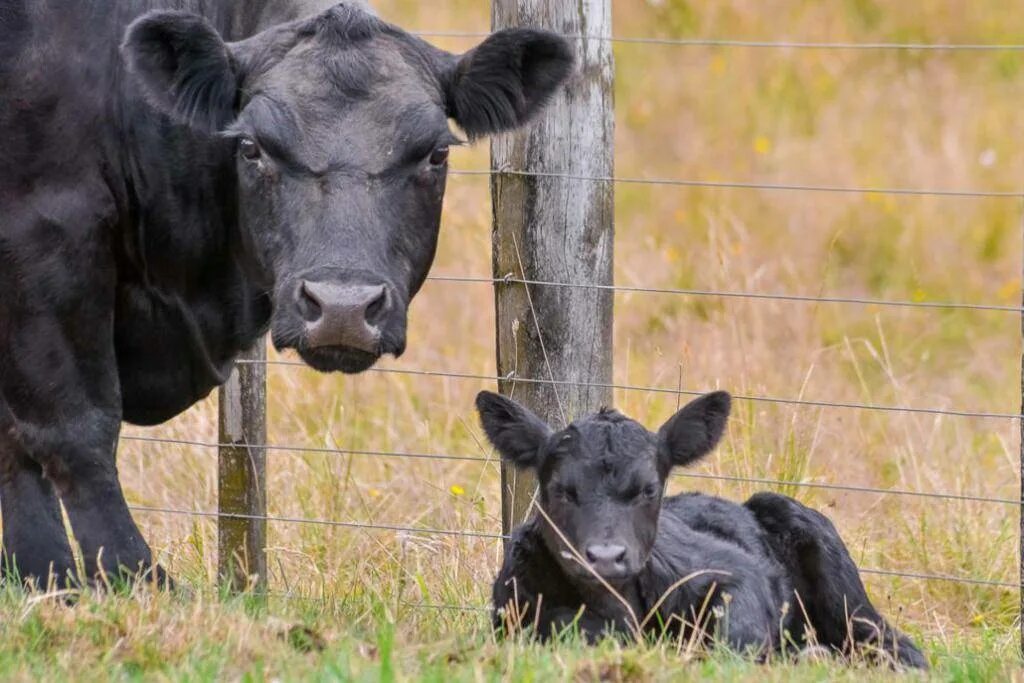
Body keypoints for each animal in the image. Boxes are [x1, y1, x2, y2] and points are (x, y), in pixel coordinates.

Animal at [0, 1, 573, 589]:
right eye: (252, 147)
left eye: (435, 154)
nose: (343, 308)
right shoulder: (45, 229)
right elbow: (74, 428)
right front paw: (131, 582)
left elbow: (13, 443)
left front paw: (42, 580)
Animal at [479, 389, 929, 667]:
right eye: (560, 490)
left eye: (649, 488)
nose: (606, 557)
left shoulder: (735, 572)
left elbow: (738, 627)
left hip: (845, 594)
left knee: (894, 645)